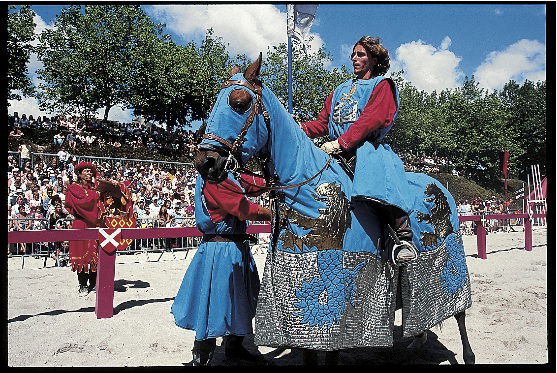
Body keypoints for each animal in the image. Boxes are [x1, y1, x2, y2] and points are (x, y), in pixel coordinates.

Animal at [193, 53, 476, 362]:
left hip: (449, 260)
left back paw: (467, 354)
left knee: (460, 311)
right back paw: (415, 342)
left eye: (239, 103)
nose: (205, 162)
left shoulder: (340, 301)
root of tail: (440, 186)